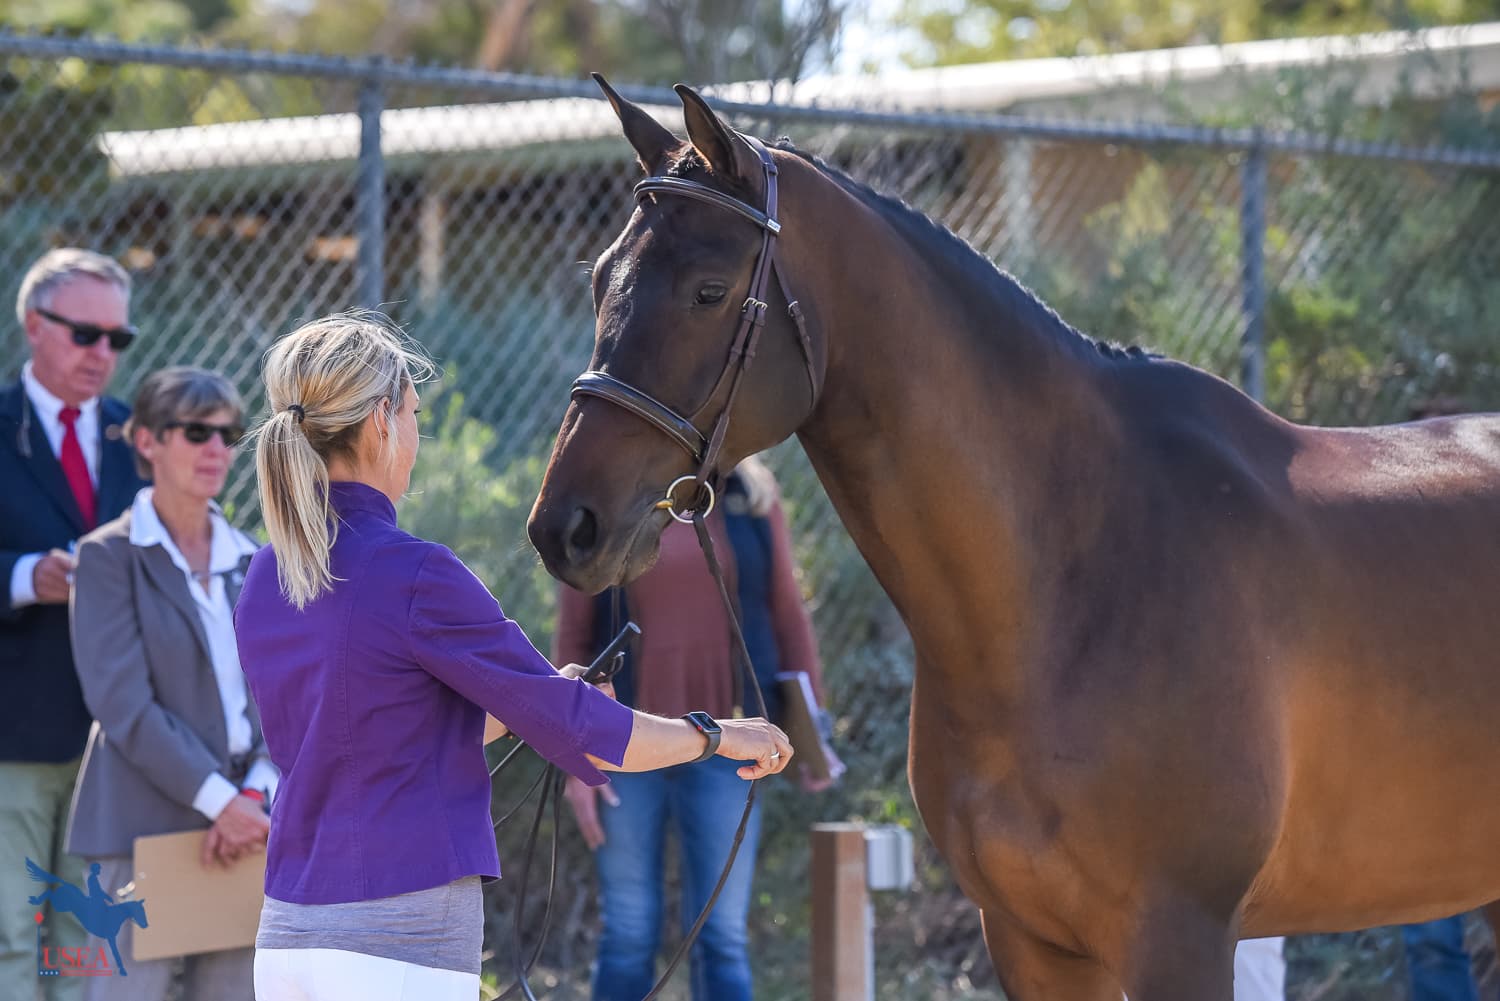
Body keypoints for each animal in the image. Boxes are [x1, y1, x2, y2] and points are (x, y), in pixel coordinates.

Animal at [526, 78, 1500, 999]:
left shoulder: (1182, 938)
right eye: (600, 278)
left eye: (709, 290)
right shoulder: (1030, 940)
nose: (565, 526)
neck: (1070, 577)